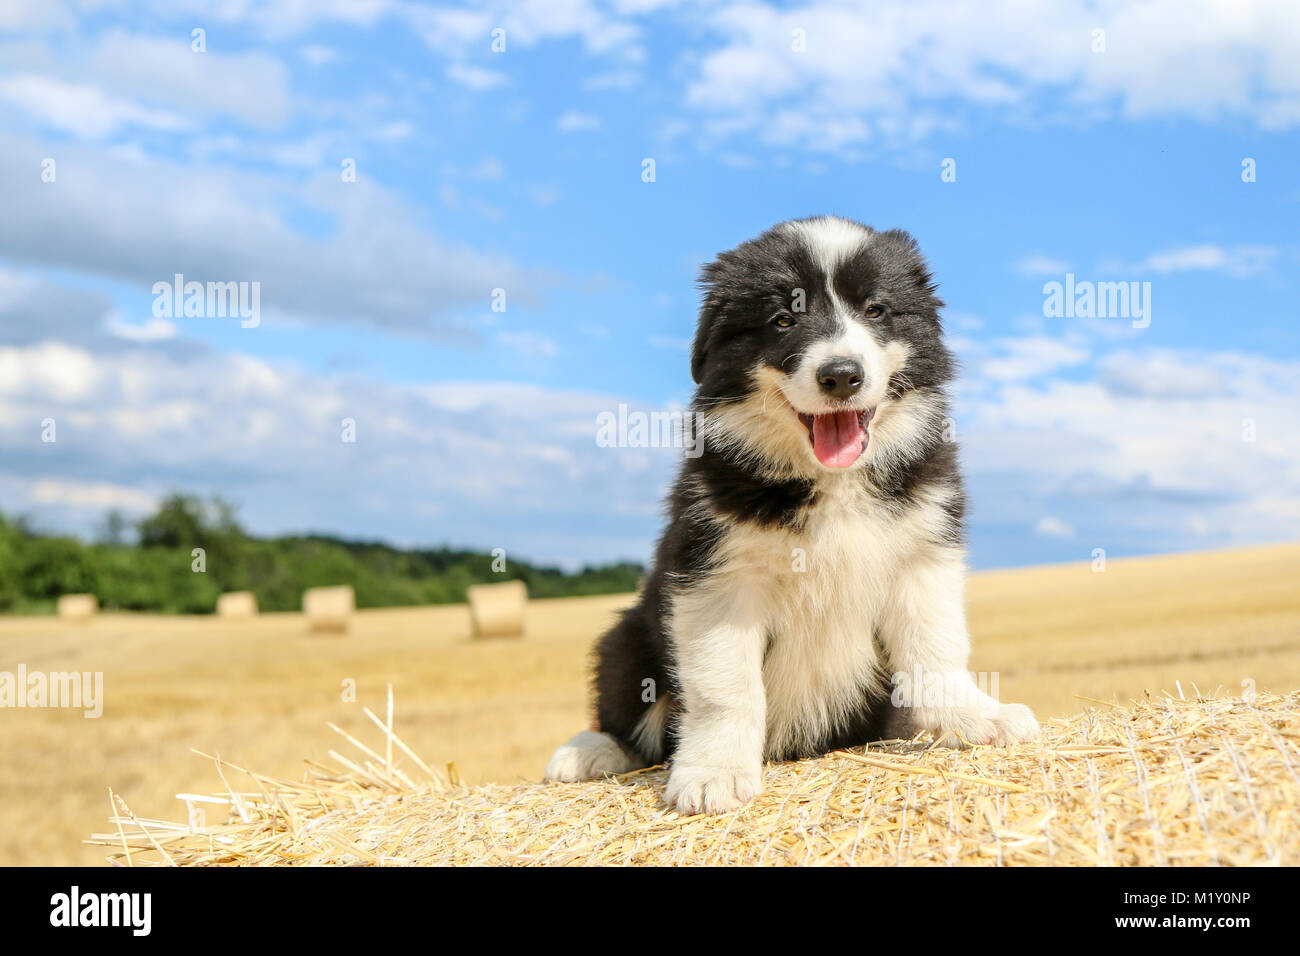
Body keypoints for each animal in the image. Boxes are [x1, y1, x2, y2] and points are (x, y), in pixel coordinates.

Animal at [543, 217, 1040, 816]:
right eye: (783, 320)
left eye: (876, 310)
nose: (841, 375)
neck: (833, 482)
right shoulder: (717, 576)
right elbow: (725, 688)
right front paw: (714, 774)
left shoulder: (922, 553)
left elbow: (936, 648)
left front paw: (976, 718)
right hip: (626, 638)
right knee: (624, 712)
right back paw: (587, 752)